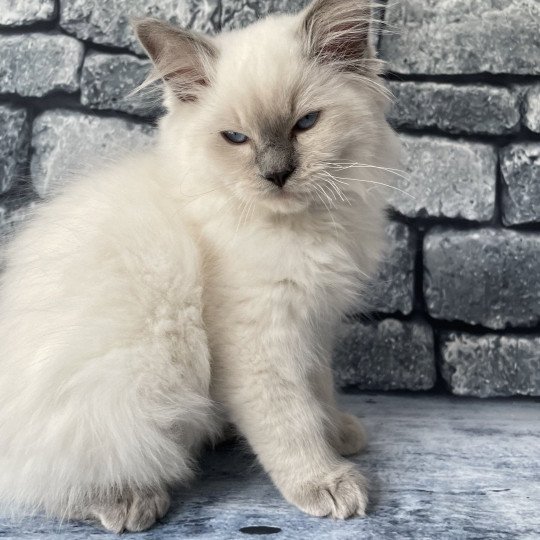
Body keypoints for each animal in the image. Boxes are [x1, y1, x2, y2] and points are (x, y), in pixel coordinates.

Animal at [0, 0, 398, 532]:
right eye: (236, 138)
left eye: (306, 123)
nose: (276, 174)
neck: (299, 229)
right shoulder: (256, 341)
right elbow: (289, 420)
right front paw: (326, 481)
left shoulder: (314, 326)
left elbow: (319, 391)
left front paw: (338, 434)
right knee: (53, 482)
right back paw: (130, 501)